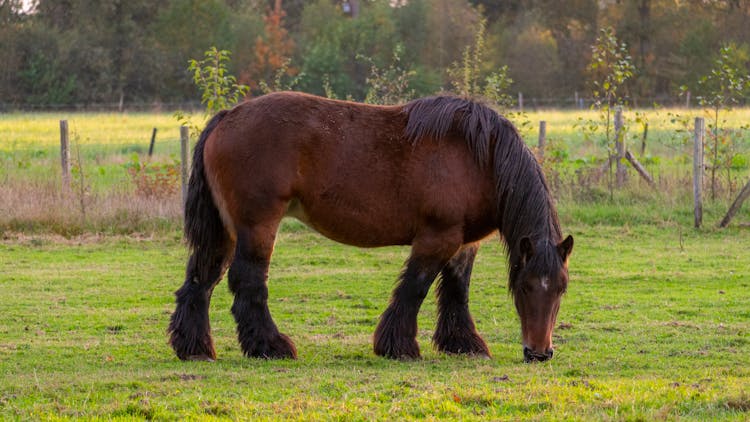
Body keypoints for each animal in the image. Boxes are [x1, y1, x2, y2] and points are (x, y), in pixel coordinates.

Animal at [167, 91, 572, 362]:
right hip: (258, 226)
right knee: (248, 282)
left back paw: (195, 348)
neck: (479, 158)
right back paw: (269, 346)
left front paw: (463, 344)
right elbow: (414, 289)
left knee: (201, 280)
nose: (539, 353)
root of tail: (226, 117)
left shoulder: (464, 244)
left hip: (225, 231)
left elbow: (456, 292)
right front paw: (399, 347)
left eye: (561, 289)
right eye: (527, 286)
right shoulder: (437, 239)